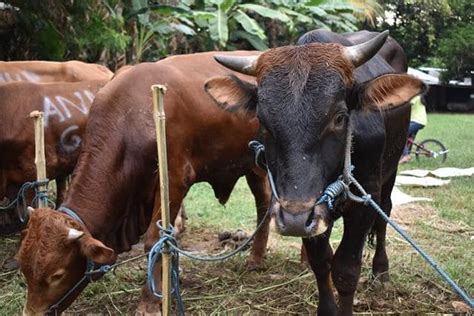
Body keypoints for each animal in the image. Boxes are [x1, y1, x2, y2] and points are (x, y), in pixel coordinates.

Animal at [17, 50, 270, 314]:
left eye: (56, 275)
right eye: (24, 267)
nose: (31, 313)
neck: (131, 117)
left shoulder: (174, 179)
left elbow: (155, 240)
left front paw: (150, 302)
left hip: (258, 165)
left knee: (265, 203)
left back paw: (256, 258)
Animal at [208, 29, 426, 314]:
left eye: (340, 117)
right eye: (263, 121)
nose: (294, 220)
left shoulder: (364, 200)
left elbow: (346, 269)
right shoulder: (305, 211)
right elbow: (321, 263)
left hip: (390, 172)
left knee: (385, 214)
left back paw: (381, 272)